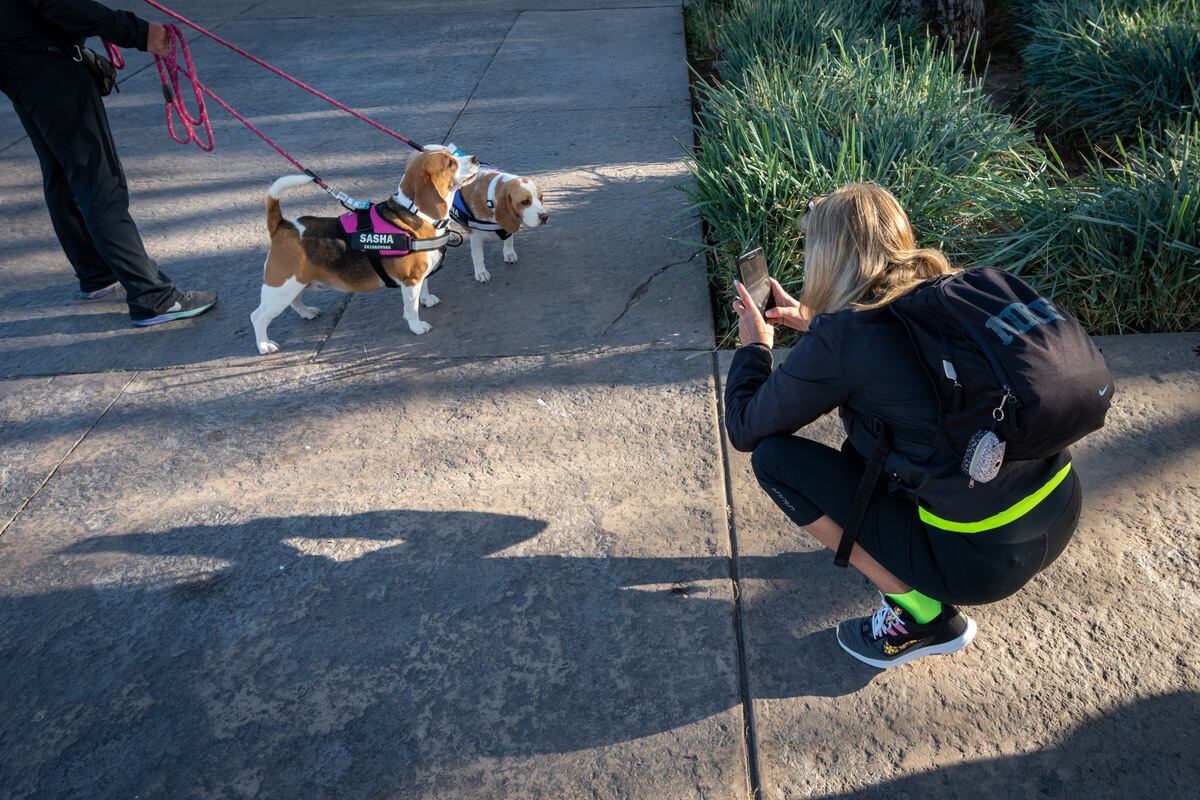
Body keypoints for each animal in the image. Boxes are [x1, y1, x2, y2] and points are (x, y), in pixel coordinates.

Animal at [252, 146, 477, 352]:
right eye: (450, 163)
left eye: (452, 154)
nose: (475, 158)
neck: (417, 214)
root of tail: (282, 225)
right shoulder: (411, 280)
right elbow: (411, 308)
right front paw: (417, 326)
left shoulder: (420, 274)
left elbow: (425, 286)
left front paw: (427, 299)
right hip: (281, 289)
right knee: (258, 317)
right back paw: (264, 345)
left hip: (294, 284)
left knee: (294, 301)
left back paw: (307, 312)